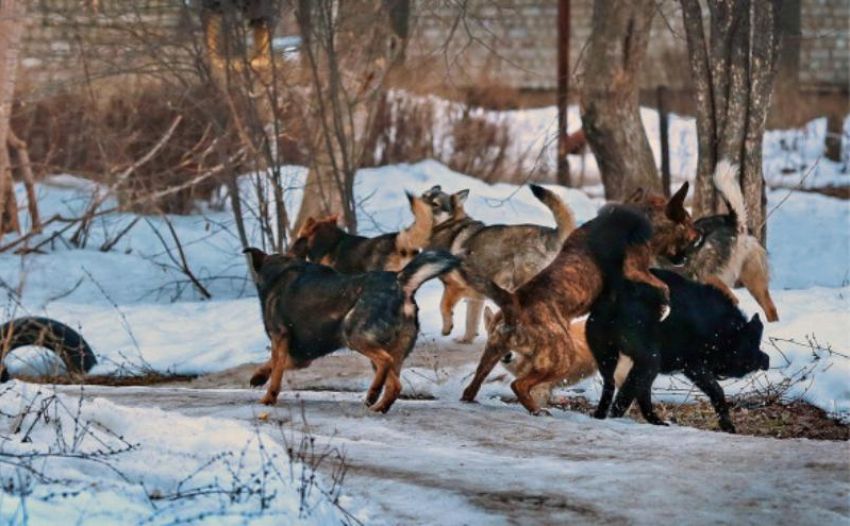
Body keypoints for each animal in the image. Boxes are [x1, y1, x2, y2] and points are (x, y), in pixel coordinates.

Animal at [243, 248, 458, 412]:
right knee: (395, 384)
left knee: (385, 362)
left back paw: (373, 395)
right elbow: (272, 364)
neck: (278, 271)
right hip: (392, 348)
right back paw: (378, 407)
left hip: (354, 335)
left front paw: (268, 399)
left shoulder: (280, 338)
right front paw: (258, 376)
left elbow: (276, 373)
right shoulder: (302, 357)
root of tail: (400, 282)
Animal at [420, 184, 572, 344]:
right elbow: (471, 321)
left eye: (435, 204)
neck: (448, 226)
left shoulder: (455, 286)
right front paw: (466, 339)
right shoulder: (476, 296)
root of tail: (553, 234)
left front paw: (447, 329)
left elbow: (443, 306)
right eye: (423, 196)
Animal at [588, 270, 764, 436]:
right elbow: (717, 390)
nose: (766, 359)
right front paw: (729, 428)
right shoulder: (693, 364)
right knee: (629, 391)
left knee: (614, 386)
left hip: (607, 355)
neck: (721, 329)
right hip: (649, 359)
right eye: (752, 341)